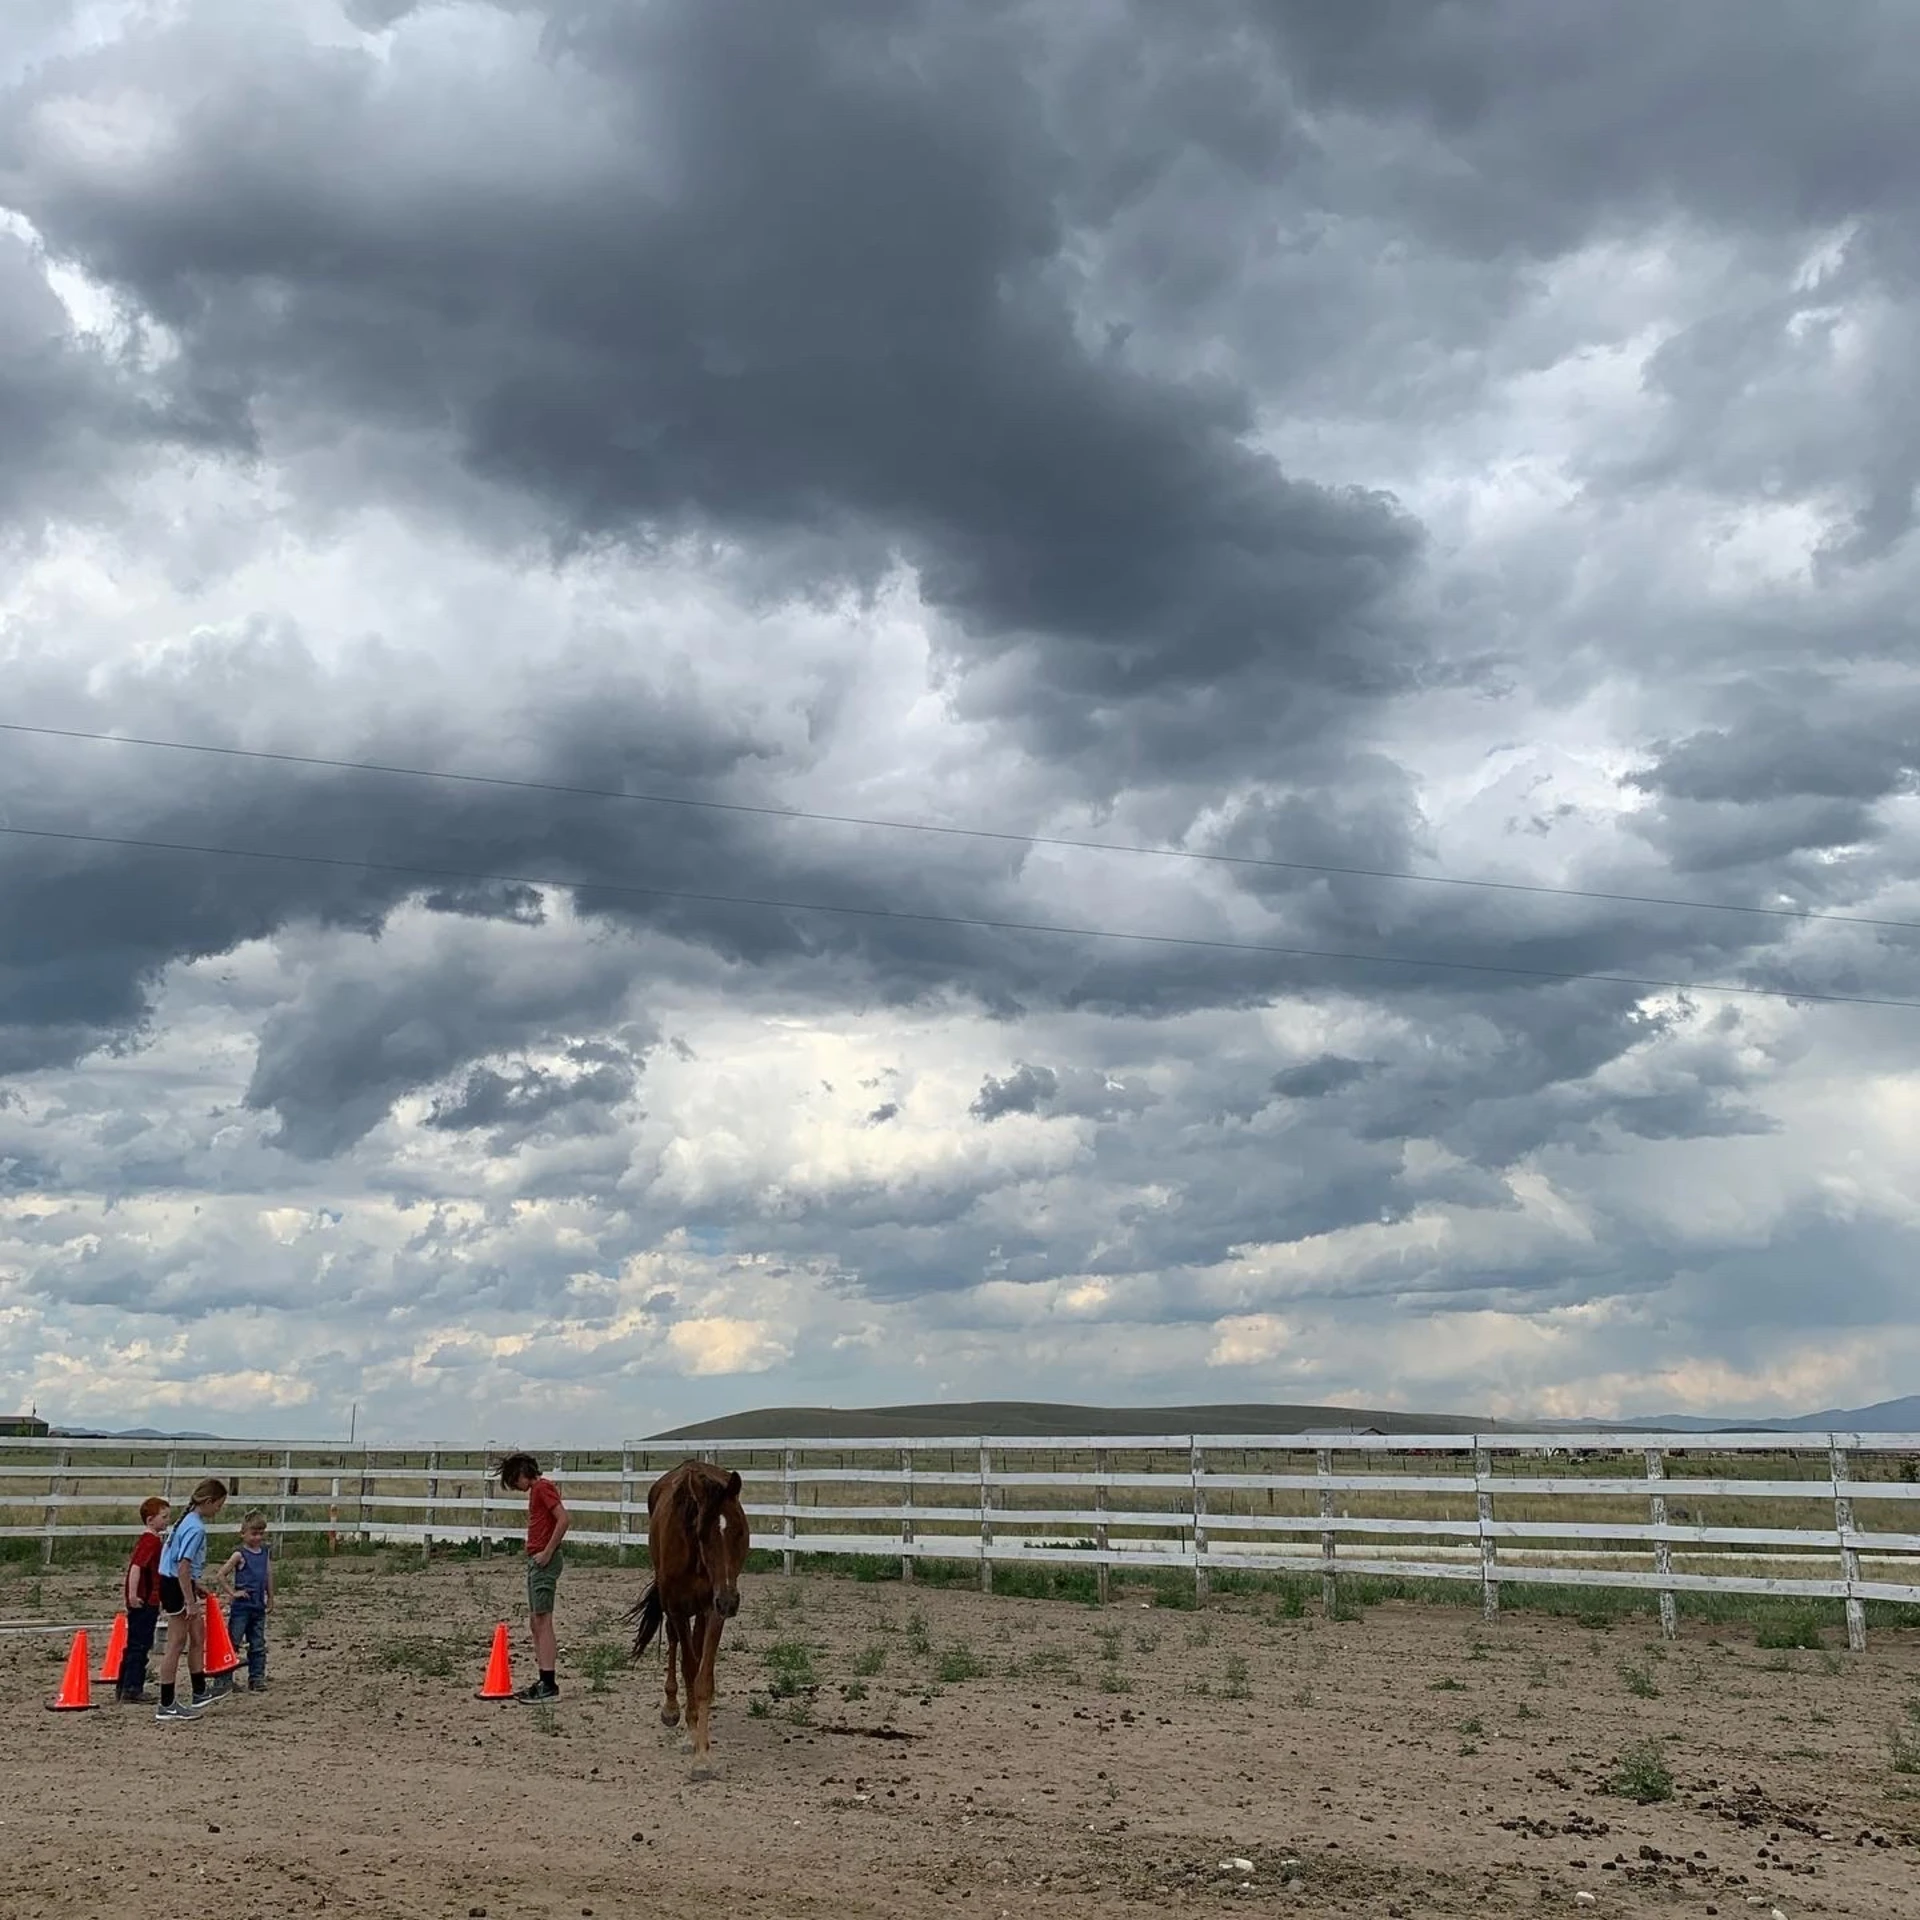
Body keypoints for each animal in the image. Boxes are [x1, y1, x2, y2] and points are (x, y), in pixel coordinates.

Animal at [629, 1459, 748, 1758]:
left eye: (740, 1531)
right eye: (702, 1534)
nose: (730, 1601)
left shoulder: (713, 1608)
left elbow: (702, 1676)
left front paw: (701, 1748)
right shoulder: (677, 1608)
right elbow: (689, 1665)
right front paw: (690, 1728)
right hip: (673, 1607)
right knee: (674, 1641)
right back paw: (671, 1707)